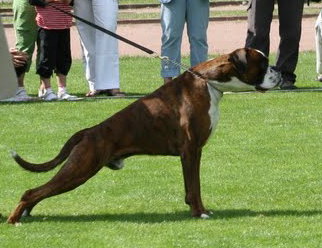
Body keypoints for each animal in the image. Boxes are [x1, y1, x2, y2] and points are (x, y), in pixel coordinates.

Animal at [7, 47, 282, 224]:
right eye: (263, 64)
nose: (278, 70)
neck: (208, 82)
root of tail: (89, 131)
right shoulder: (190, 150)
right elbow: (194, 186)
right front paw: (199, 213)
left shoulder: (194, 153)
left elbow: (192, 186)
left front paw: (196, 209)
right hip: (81, 168)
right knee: (31, 191)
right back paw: (14, 219)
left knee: (39, 192)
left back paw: (25, 214)